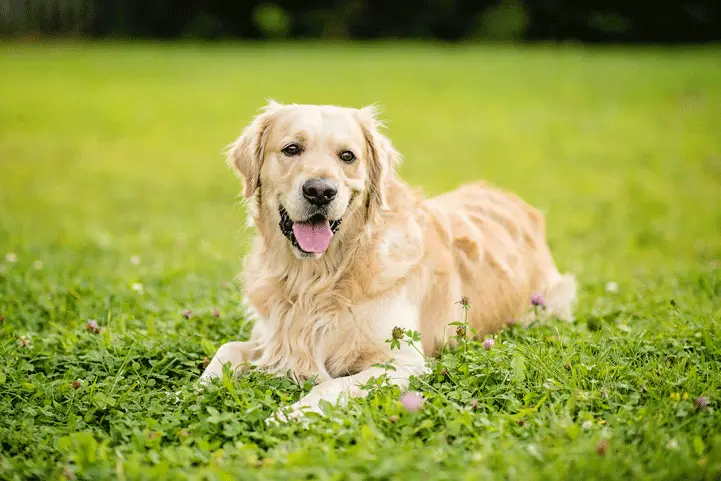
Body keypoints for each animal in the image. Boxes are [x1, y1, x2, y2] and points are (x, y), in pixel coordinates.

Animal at [198, 102, 572, 420]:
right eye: (291, 149)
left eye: (347, 156)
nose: (320, 191)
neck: (317, 278)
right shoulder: (272, 338)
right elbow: (227, 349)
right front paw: (197, 390)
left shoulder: (404, 361)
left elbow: (331, 386)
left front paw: (289, 415)